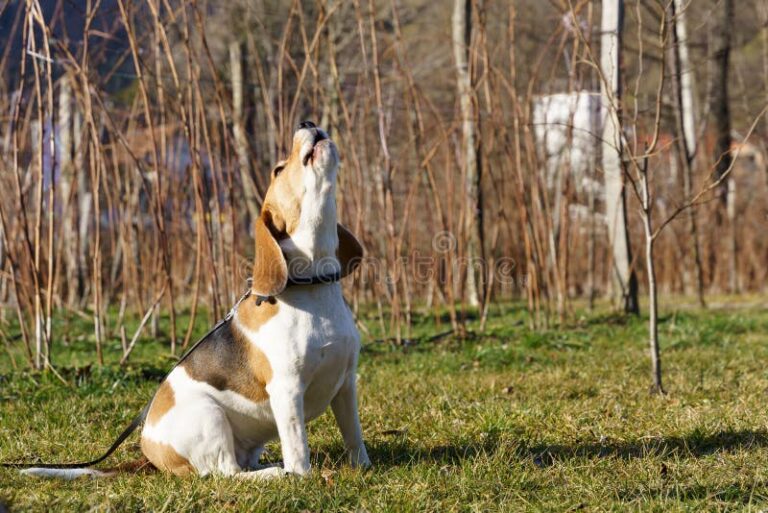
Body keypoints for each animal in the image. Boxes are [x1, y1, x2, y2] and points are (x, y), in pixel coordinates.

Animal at [141, 122, 372, 478]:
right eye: (278, 169)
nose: (307, 123)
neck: (312, 287)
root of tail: (149, 444)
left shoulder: (346, 383)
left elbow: (354, 435)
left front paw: (364, 467)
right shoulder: (287, 391)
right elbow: (298, 447)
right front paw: (302, 478)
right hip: (210, 416)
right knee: (229, 473)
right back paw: (276, 473)